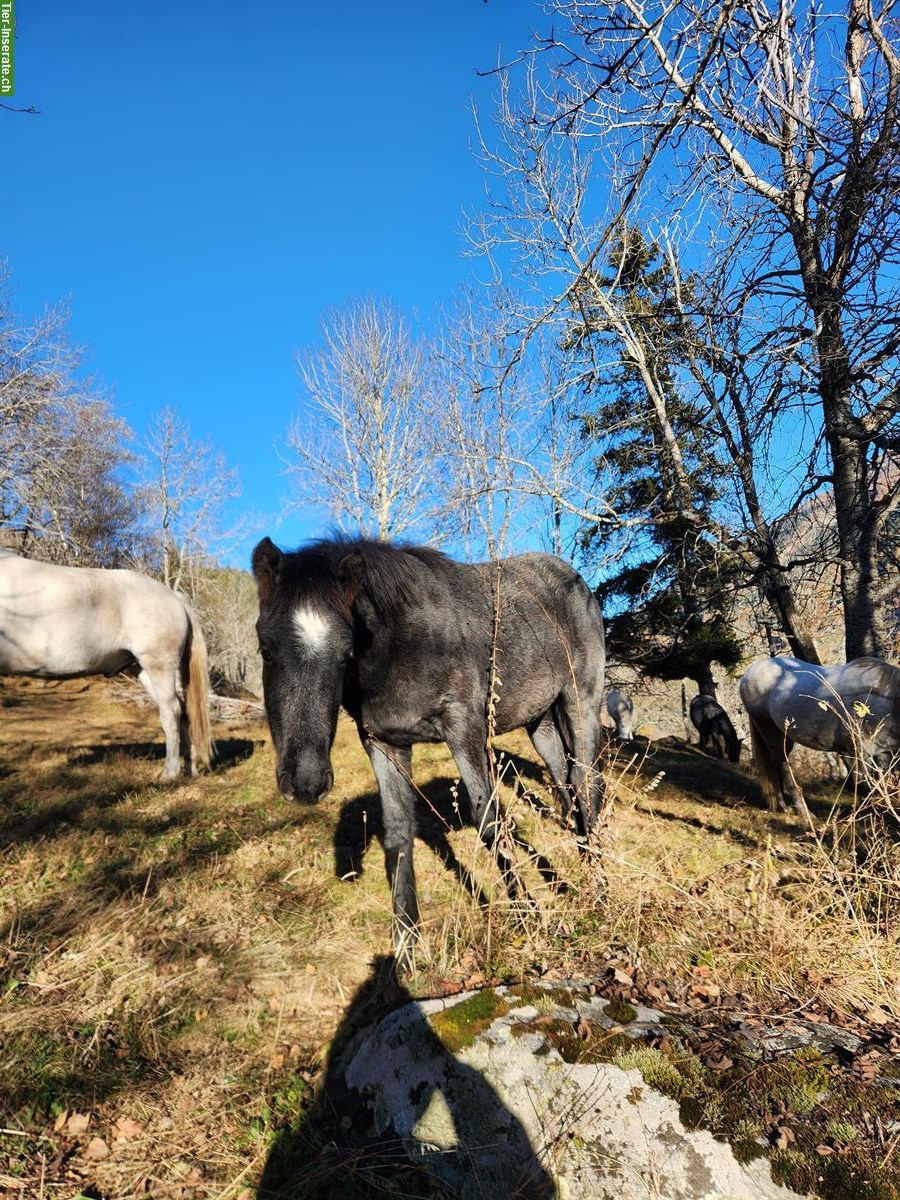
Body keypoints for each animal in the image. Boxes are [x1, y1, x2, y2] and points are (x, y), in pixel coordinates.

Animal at [0, 549, 213, 782]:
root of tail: (174, 597)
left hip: (158, 666)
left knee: (171, 711)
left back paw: (170, 773)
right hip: (142, 669)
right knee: (182, 710)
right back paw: (190, 768)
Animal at [250, 540, 609, 969]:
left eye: (345, 653)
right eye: (266, 650)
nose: (306, 783)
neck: (405, 644)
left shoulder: (465, 729)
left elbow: (489, 820)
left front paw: (528, 918)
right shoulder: (383, 743)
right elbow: (399, 832)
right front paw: (406, 946)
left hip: (580, 700)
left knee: (587, 782)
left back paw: (600, 885)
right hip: (540, 722)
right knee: (566, 783)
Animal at [739, 652, 900, 820]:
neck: (884, 700)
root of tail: (748, 675)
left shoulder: (885, 753)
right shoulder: (862, 752)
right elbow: (866, 785)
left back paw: (782, 806)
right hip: (771, 732)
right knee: (783, 766)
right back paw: (804, 813)